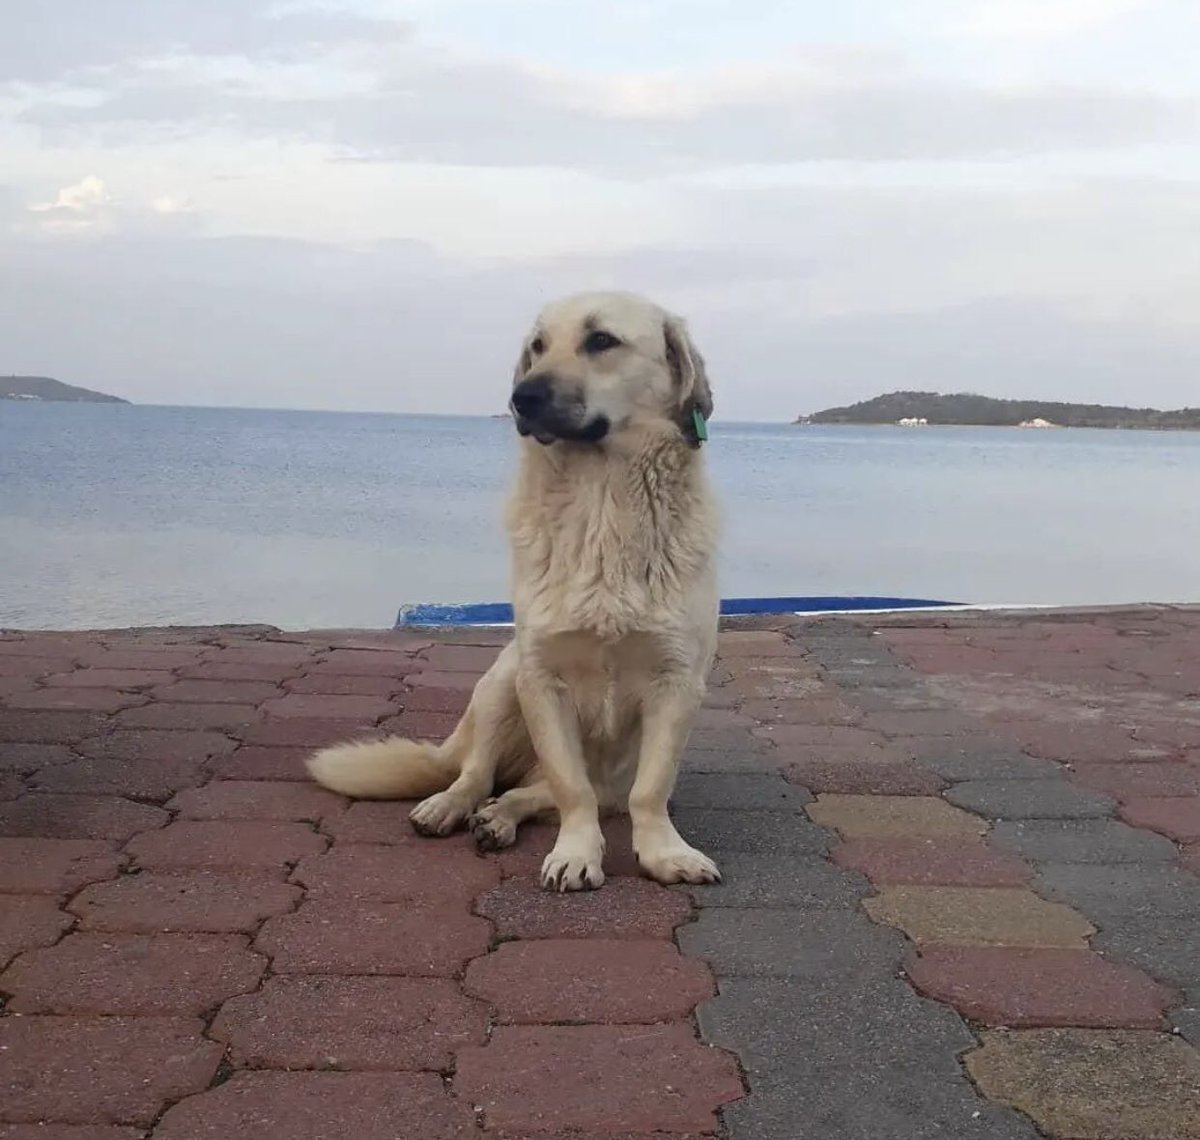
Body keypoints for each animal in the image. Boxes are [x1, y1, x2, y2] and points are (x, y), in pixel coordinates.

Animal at [312, 292, 720, 892]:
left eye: (601, 340)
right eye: (537, 347)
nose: (521, 398)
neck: (600, 502)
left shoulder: (677, 683)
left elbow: (650, 790)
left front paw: (663, 852)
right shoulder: (540, 677)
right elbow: (571, 788)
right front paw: (576, 853)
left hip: (597, 770)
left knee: (528, 793)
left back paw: (498, 820)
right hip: (502, 681)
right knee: (479, 775)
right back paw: (451, 806)